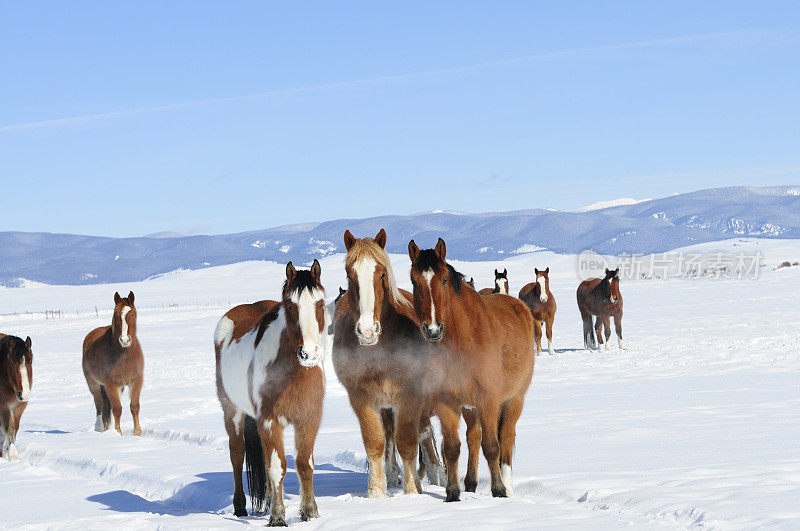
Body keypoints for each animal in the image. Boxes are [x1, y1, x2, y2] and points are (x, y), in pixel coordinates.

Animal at [82, 290, 144, 436]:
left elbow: (134, 406)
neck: (124, 355)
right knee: (99, 403)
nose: (125, 340)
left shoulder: (136, 381)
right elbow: (117, 409)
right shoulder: (111, 384)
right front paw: (118, 433)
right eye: (116, 315)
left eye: (133, 314)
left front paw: (137, 433)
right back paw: (99, 428)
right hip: (94, 384)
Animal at [216, 260, 324, 524]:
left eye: (320, 303)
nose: (309, 353)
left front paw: (310, 512)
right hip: (232, 412)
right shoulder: (270, 420)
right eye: (290, 305)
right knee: (237, 455)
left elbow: (304, 464)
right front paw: (278, 517)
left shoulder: (309, 419)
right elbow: (277, 467)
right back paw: (240, 506)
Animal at [330, 229, 444, 498]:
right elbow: (376, 442)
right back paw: (392, 475)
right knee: (390, 434)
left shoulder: (410, 396)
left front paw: (413, 491)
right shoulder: (361, 398)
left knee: (422, 433)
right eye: (350, 275)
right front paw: (377, 492)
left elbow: (408, 442)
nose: (367, 331)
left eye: (381, 274)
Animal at [406, 240, 536, 502]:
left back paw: (508, 486)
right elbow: (452, 448)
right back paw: (471, 482)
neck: (462, 343)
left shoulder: (489, 400)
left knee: (506, 439)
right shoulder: (446, 402)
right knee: (473, 438)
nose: (432, 329)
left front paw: (498, 490)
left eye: (444, 279)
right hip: (469, 407)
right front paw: (452, 493)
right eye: (414, 280)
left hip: (513, 400)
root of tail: (519, 305)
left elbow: (492, 446)